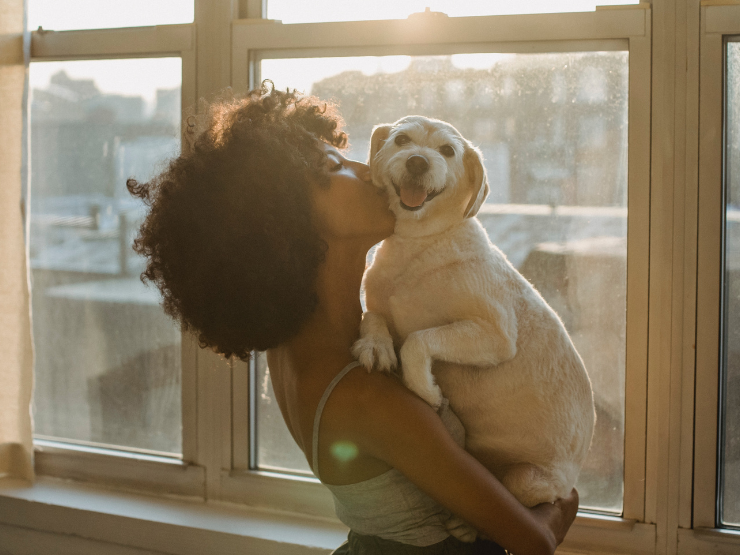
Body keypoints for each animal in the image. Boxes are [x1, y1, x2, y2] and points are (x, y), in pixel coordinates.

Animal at [352, 116, 596, 512]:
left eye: (448, 150)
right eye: (401, 140)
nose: (418, 161)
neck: (419, 244)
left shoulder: (495, 335)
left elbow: (419, 340)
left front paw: (426, 390)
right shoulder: (377, 302)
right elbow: (373, 317)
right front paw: (376, 345)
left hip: (527, 481)